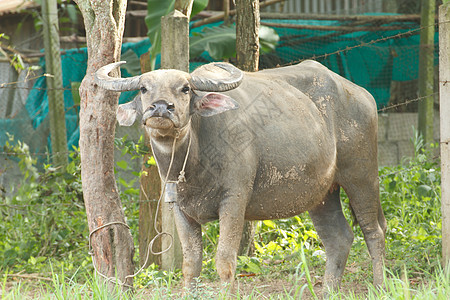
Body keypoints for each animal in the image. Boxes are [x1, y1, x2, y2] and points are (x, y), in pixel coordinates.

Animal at [95, 60, 386, 292]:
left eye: (185, 88)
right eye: (144, 89)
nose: (160, 108)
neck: (193, 160)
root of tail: (361, 95)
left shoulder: (234, 200)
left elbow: (224, 260)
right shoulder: (179, 207)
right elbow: (191, 264)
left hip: (362, 176)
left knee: (374, 231)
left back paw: (380, 286)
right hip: (322, 194)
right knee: (339, 239)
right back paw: (328, 290)